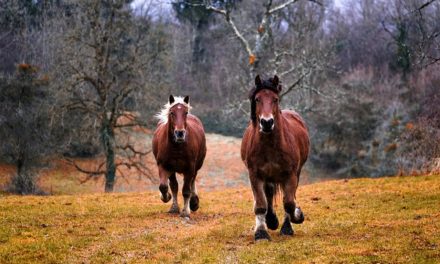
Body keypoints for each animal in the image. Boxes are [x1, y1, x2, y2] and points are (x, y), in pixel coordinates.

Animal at [241, 75, 310, 241]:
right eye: (257, 99)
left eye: (275, 99)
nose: (267, 123)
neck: (270, 145)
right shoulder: (255, 175)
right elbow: (260, 204)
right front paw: (261, 232)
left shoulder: (290, 174)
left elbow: (289, 203)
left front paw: (295, 218)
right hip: (269, 176)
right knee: (269, 194)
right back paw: (271, 220)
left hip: (295, 173)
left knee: (287, 196)